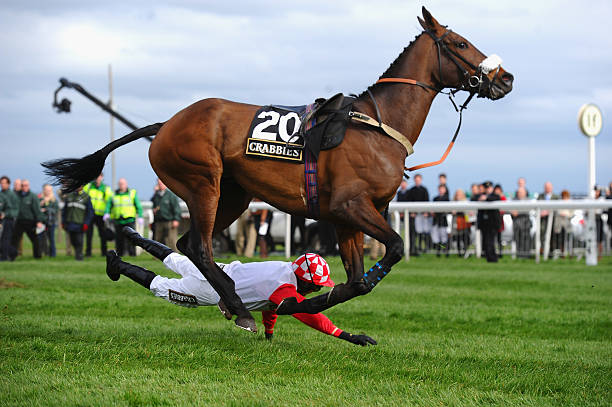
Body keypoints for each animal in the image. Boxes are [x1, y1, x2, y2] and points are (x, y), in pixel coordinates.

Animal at [40, 7, 512, 334]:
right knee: (202, 248)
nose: (505, 78)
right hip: (203, 182)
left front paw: (312, 302)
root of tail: (166, 124)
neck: (377, 126)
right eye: (461, 43)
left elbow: (358, 282)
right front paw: (288, 304)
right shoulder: (352, 206)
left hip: (234, 195)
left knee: (188, 243)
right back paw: (235, 305)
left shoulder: (346, 218)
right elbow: (395, 247)